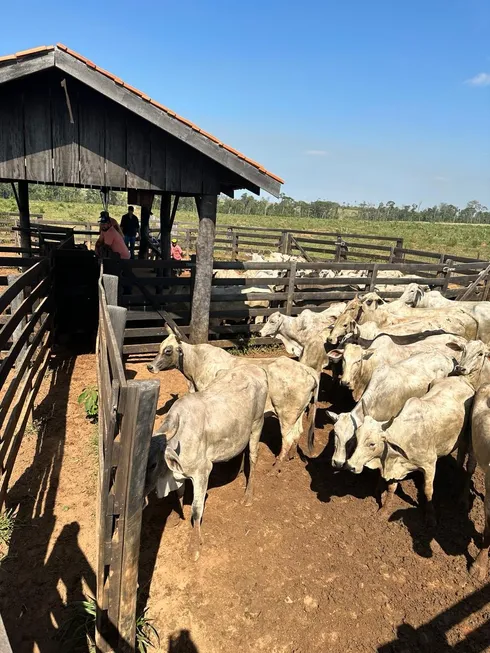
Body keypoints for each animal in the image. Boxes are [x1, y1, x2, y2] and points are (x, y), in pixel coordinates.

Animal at [145, 364, 268, 556]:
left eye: (153, 464)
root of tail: (256, 368)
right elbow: (179, 493)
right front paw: (177, 515)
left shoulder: (202, 472)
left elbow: (196, 509)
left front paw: (195, 544)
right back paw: (238, 472)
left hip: (257, 424)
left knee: (253, 457)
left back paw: (248, 495)